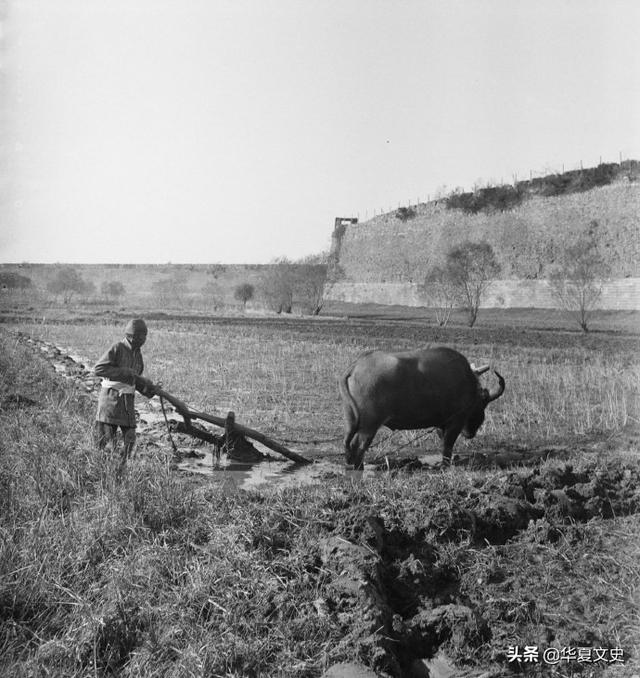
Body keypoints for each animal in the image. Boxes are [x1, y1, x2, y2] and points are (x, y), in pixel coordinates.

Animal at [338, 348, 508, 470]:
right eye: (482, 404)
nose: (471, 433)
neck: (467, 383)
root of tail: (356, 366)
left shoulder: (441, 424)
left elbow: (443, 443)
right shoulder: (455, 422)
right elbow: (448, 445)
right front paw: (445, 465)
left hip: (351, 420)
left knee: (348, 443)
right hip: (369, 426)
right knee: (358, 445)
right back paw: (359, 467)